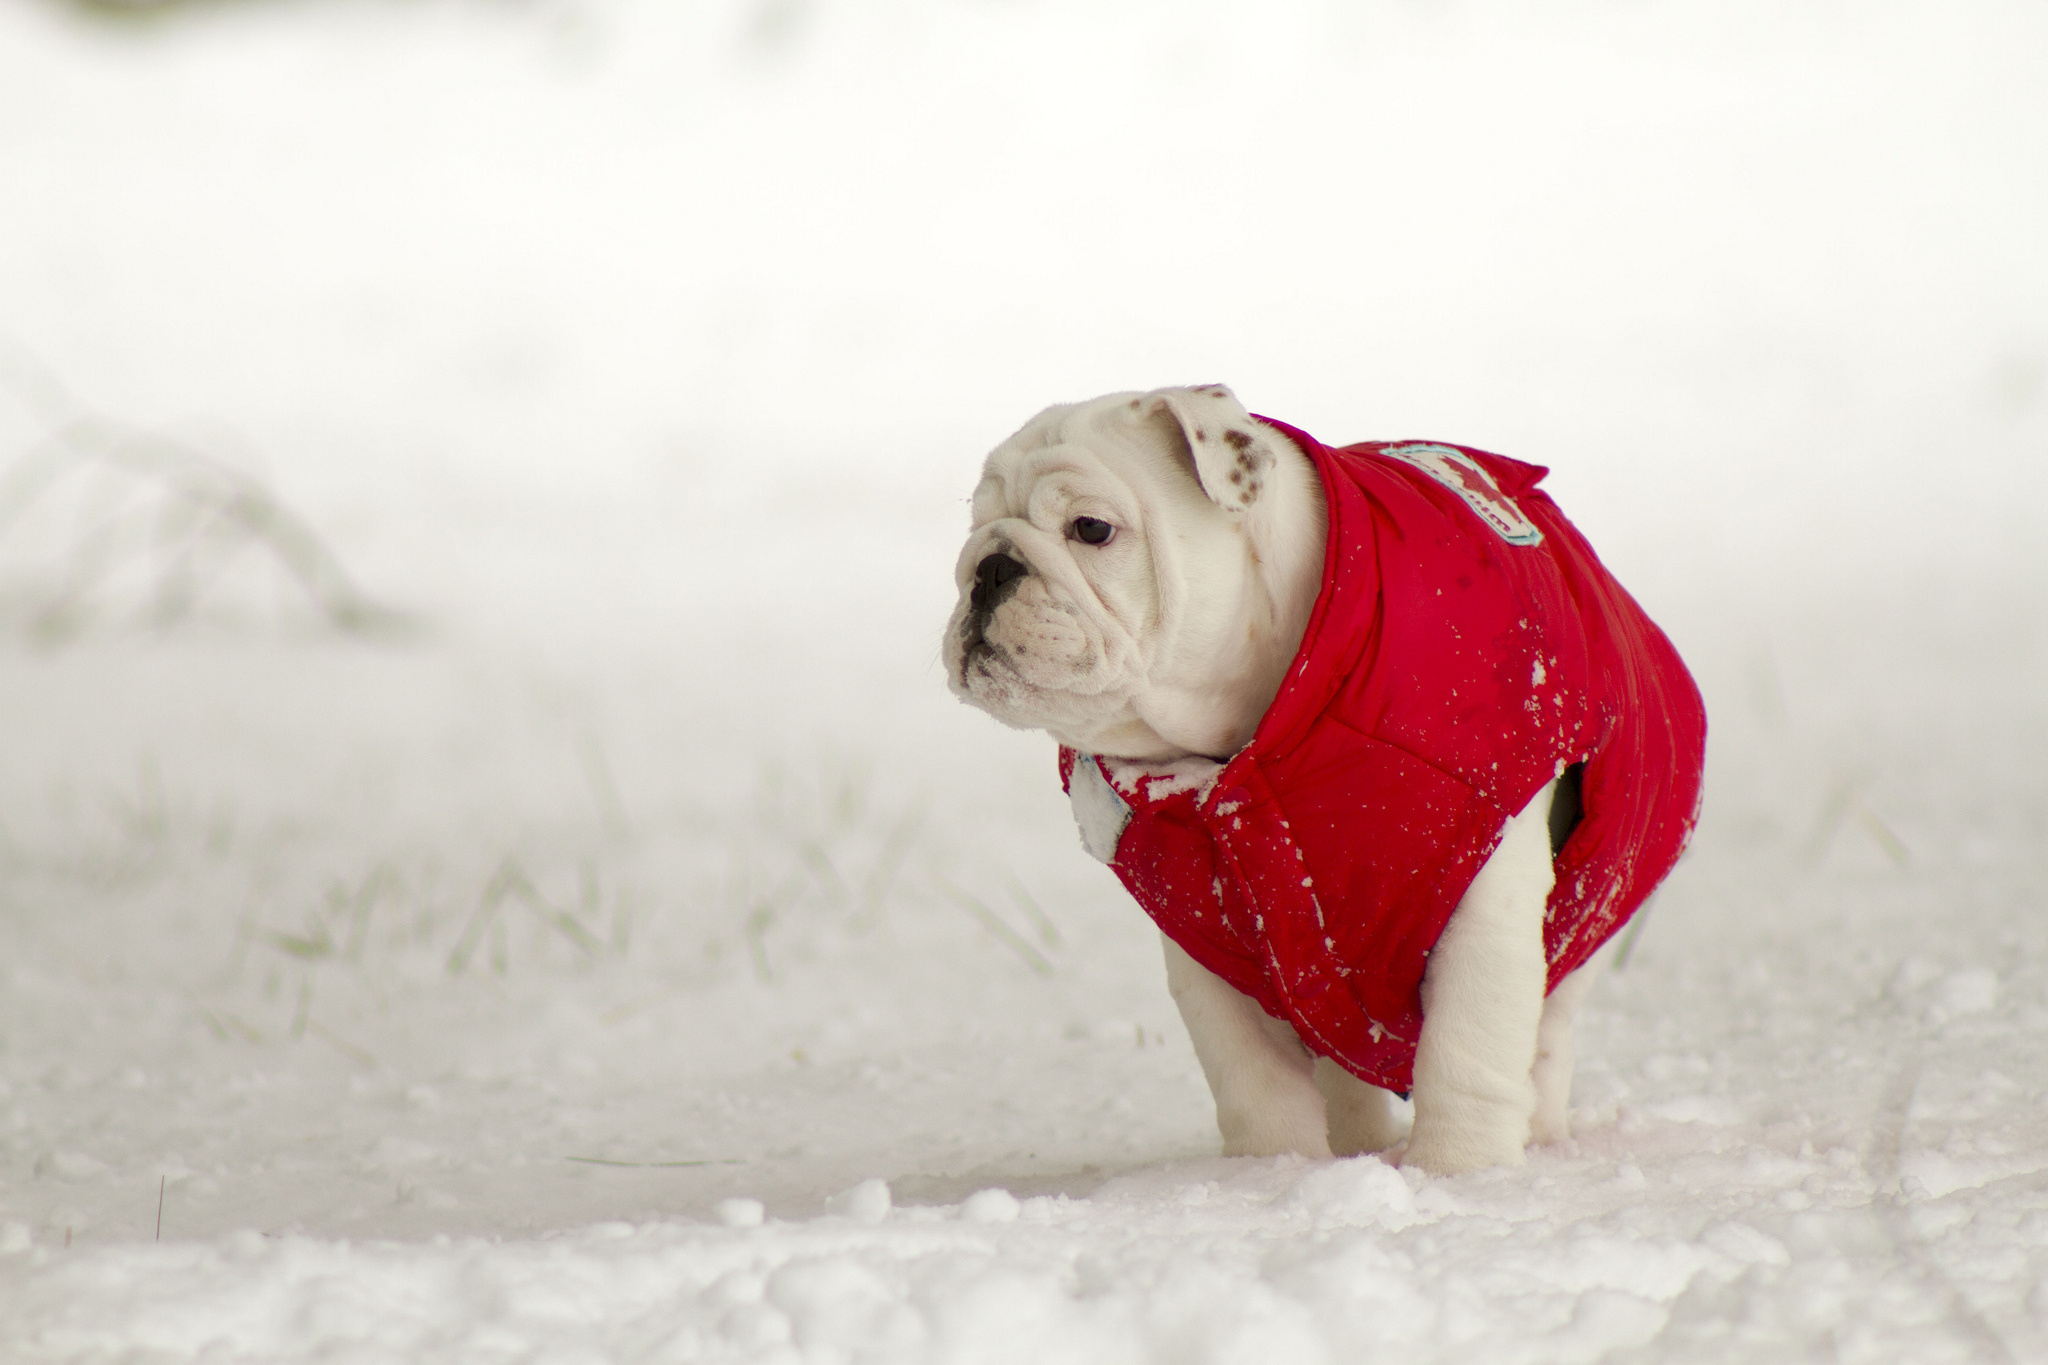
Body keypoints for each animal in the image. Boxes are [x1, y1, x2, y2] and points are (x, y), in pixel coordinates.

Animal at [937, 382, 1695, 1178]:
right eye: (977, 525)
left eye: (1091, 528)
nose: (988, 565)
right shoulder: (1207, 942)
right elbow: (1251, 1076)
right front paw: (1268, 1172)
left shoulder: (1483, 893)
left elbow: (1468, 1048)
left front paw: (1457, 1171)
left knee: (1543, 1037)